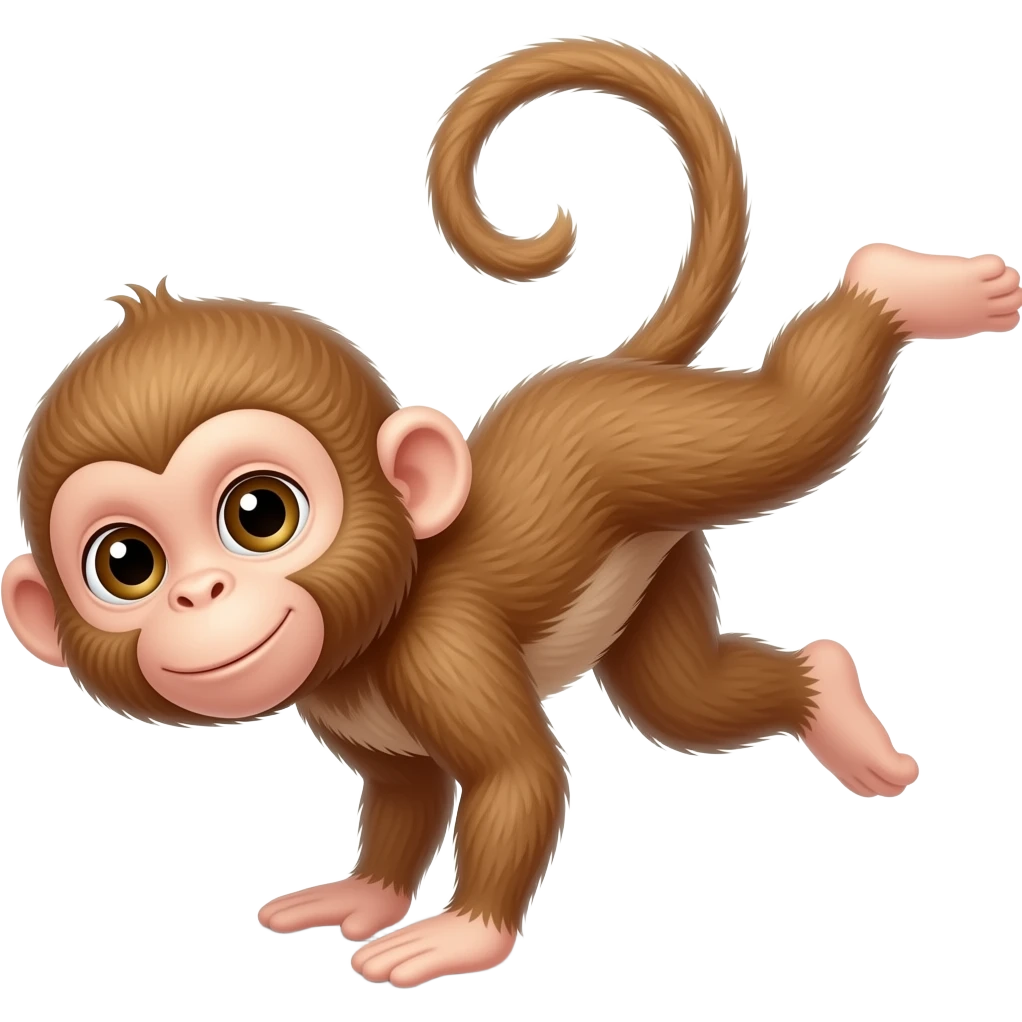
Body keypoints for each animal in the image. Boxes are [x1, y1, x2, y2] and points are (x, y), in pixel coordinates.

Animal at [2, 36, 1019, 989]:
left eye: (260, 514)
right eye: (128, 565)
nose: (201, 594)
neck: (380, 627)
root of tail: (611, 370)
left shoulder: (443, 648)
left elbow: (517, 776)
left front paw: (462, 936)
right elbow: (406, 791)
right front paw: (364, 895)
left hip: (666, 442)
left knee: (794, 427)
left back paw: (894, 285)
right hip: (665, 551)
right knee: (682, 699)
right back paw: (825, 689)